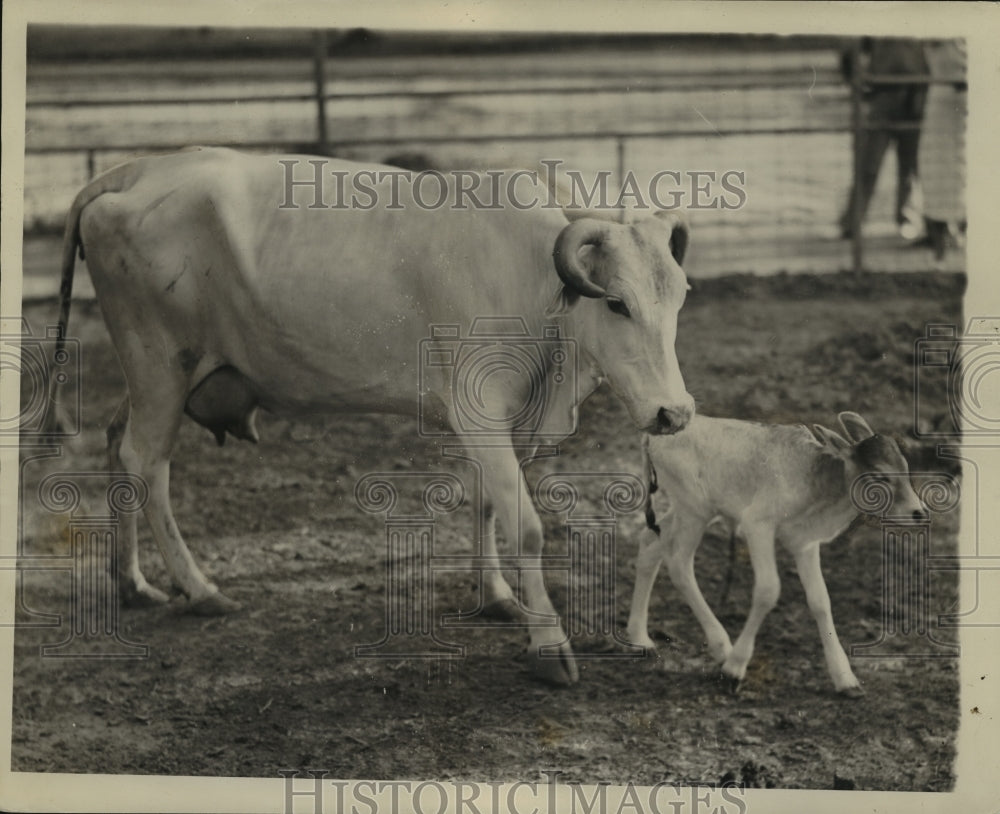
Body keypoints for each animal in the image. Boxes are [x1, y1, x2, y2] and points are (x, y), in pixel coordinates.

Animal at [48, 145, 696, 684]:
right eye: (617, 303)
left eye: (680, 296)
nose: (675, 412)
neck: (530, 280)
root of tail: (135, 171)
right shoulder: (480, 413)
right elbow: (526, 526)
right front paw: (549, 646)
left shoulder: (494, 423)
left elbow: (487, 503)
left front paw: (496, 597)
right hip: (161, 367)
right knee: (146, 463)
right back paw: (199, 588)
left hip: (154, 377)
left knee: (116, 440)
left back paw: (131, 581)